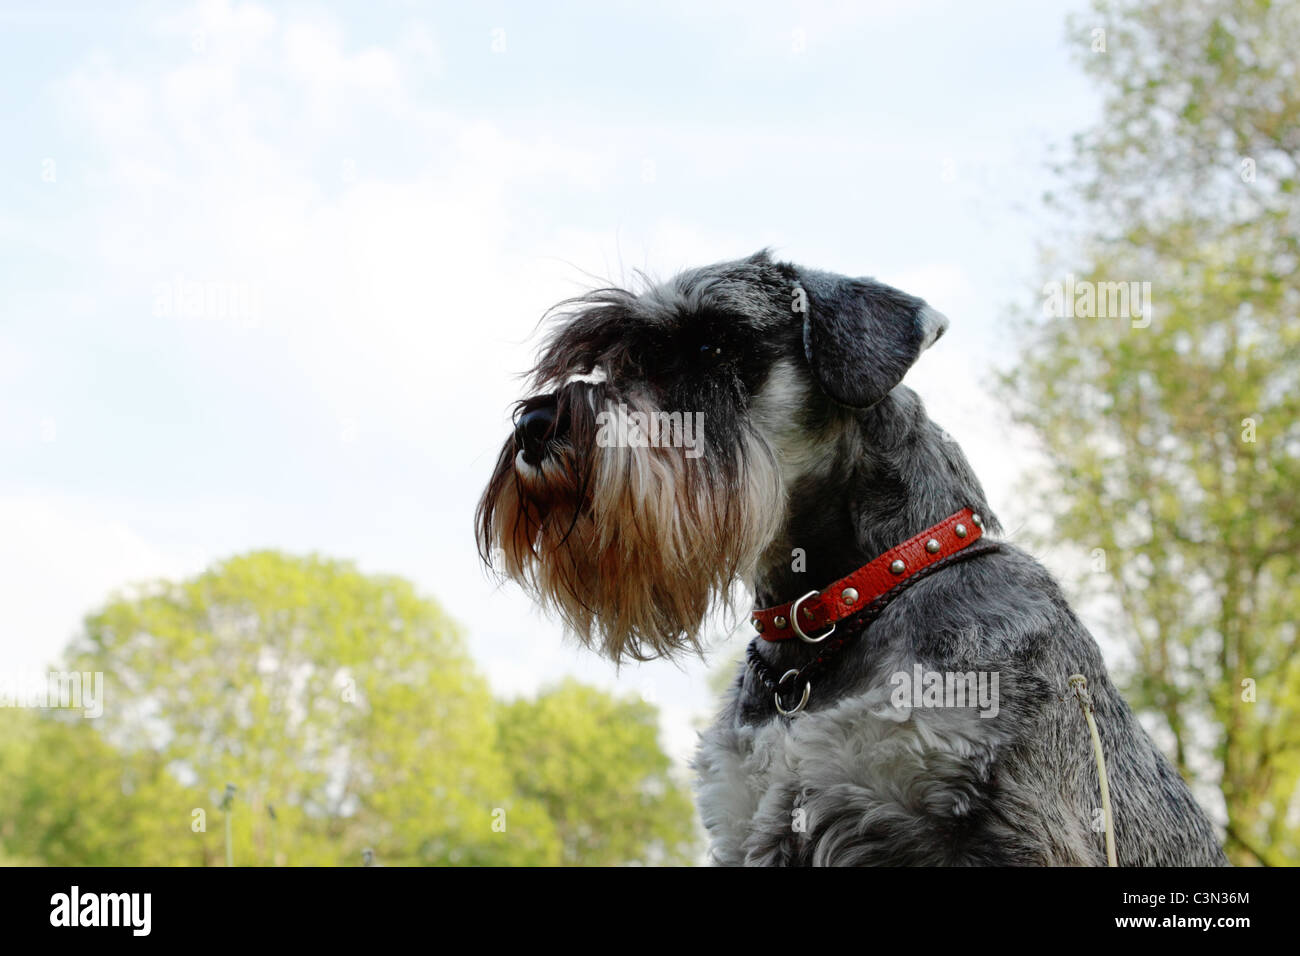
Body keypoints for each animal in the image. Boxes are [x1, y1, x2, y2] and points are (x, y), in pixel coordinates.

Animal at [478, 248, 1227, 868]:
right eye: (610, 360)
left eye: (715, 343)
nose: (536, 425)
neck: (835, 611)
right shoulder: (752, 818)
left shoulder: (1009, 828)